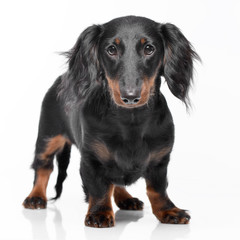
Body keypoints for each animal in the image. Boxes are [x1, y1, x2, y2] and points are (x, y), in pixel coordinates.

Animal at [23, 16, 199, 227]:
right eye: (111, 49)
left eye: (149, 48)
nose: (130, 97)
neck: (131, 121)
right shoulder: (92, 160)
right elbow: (100, 189)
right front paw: (99, 213)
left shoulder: (160, 160)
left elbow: (157, 189)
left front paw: (168, 210)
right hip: (48, 136)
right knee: (43, 167)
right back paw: (35, 197)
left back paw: (126, 198)